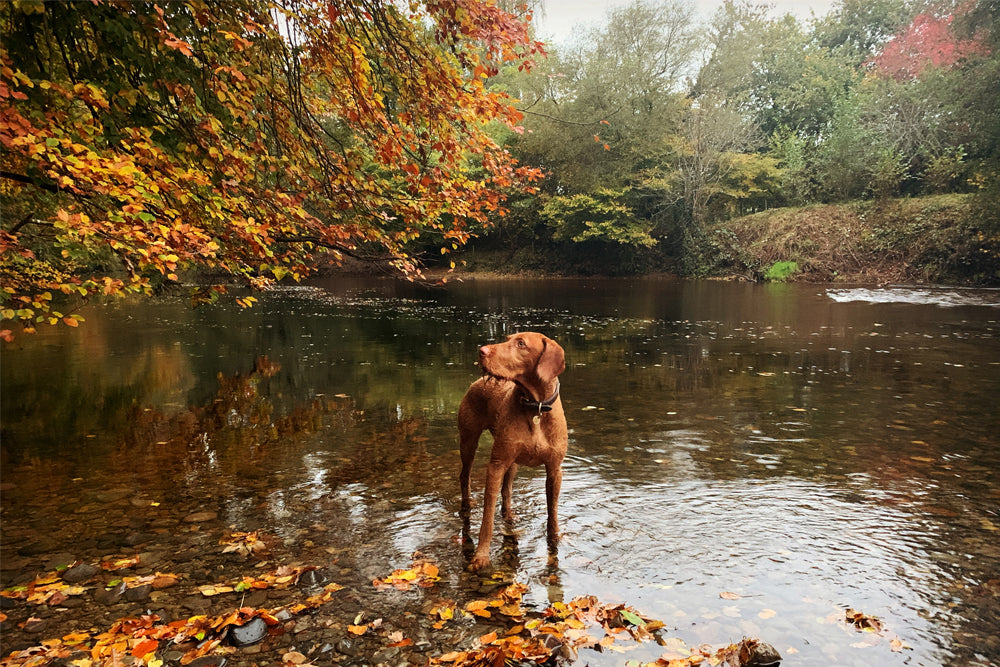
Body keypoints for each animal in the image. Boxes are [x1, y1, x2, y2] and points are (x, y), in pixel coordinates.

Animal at [458, 332, 568, 572]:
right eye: (508, 338)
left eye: (521, 344)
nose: (482, 351)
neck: (536, 408)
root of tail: (475, 382)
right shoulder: (495, 465)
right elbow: (487, 518)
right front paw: (481, 556)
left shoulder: (554, 469)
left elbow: (553, 510)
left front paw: (555, 538)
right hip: (469, 441)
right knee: (464, 475)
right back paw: (467, 504)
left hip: (513, 462)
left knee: (507, 490)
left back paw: (508, 513)